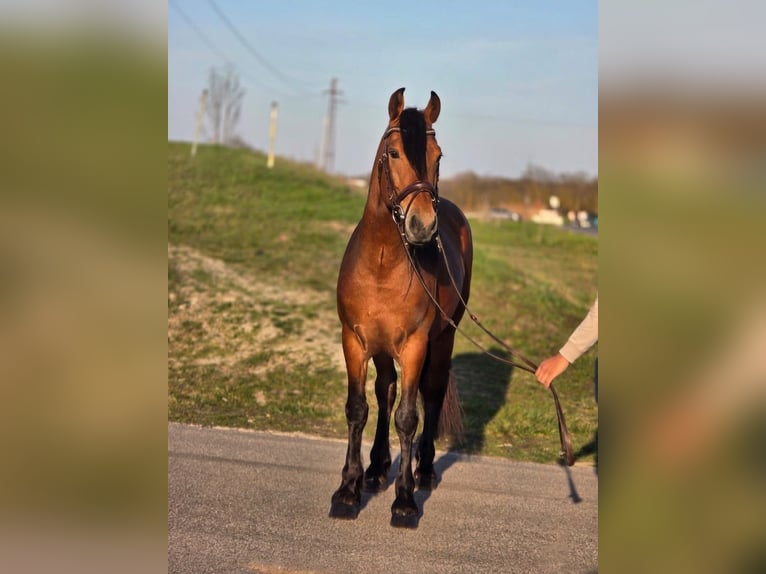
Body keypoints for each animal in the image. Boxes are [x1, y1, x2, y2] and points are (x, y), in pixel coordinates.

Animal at [330, 88, 473, 528]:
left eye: (438, 155)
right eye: (393, 152)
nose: (422, 226)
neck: (382, 263)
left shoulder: (414, 346)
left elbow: (409, 417)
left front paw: (405, 501)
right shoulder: (355, 341)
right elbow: (359, 408)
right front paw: (348, 490)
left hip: (441, 340)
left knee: (431, 393)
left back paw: (423, 471)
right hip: (381, 349)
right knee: (386, 391)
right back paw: (376, 469)